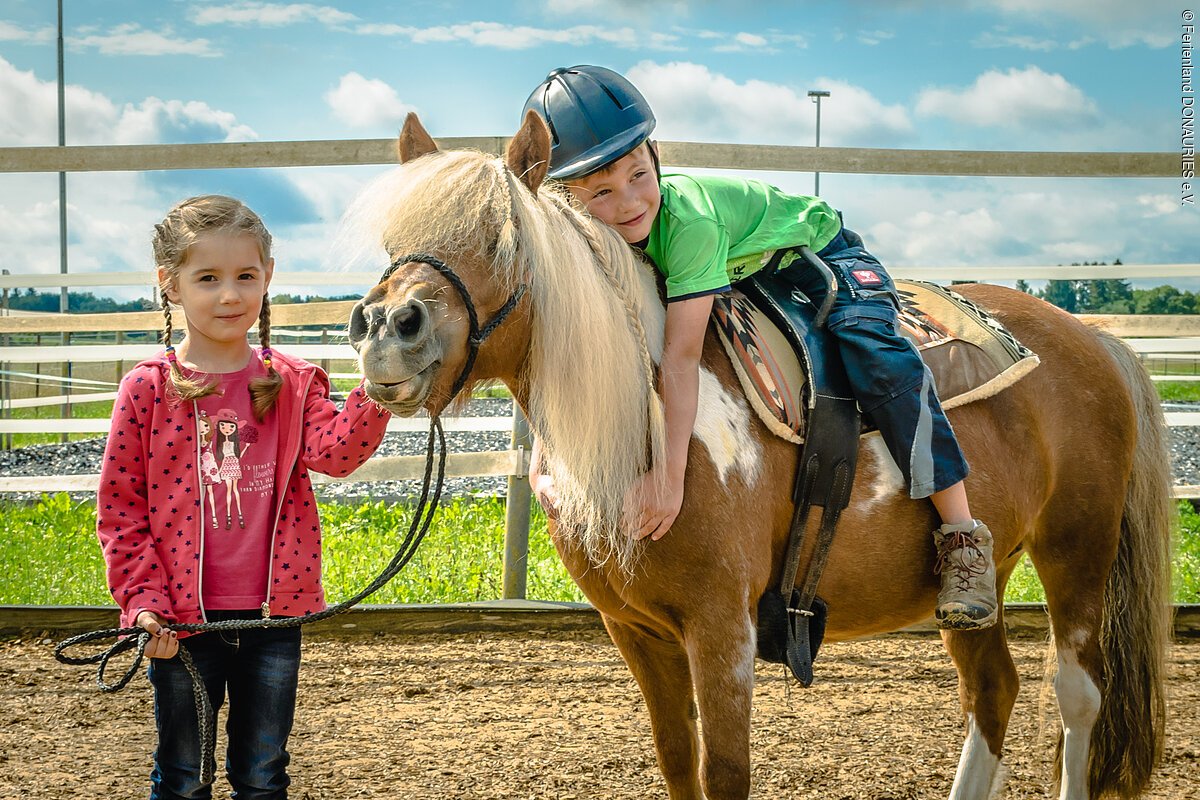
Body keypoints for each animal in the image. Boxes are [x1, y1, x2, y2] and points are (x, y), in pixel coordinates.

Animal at [341, 111, 1172, 800]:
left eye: (500, 238)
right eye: (392, 243)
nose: (387, 327)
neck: (644, 423)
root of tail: (1092, 339)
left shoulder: (722, 628)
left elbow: (726, 772)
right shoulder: (634, 631)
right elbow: (679, 761)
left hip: (1076, 550)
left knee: (1077, 695)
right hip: (983, 583)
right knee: (993, 688)